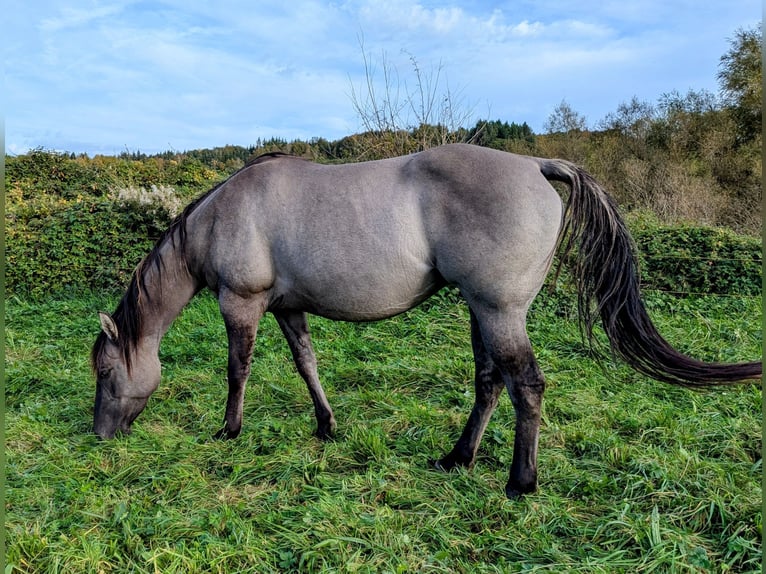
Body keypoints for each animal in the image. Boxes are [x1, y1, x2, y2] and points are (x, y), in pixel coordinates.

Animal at [91, 143, 760, 500]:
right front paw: (326, 426)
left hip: (498, 310)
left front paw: (228, 430)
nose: (100, 436)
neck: (221, 217)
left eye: (104, 371)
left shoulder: (242, 303)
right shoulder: (288, 308)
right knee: (490, 382)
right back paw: (457, 458)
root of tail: (535, 165)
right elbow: (307, 363)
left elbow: (238, 369)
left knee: (526, 384)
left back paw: (521, 481)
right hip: (479, 310)